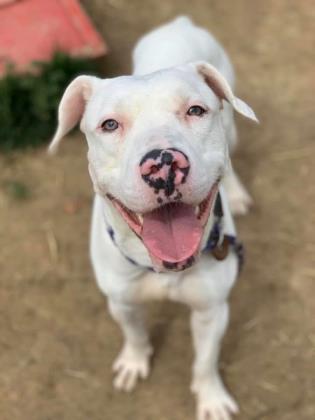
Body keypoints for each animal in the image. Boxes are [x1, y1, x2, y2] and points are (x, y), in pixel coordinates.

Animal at [48, 15, 256, 420]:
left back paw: (237, 192)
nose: (163, 164)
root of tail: (180, 22)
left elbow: (205, 361)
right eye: (109, 125)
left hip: (232, 123)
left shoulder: (212, 310)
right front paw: (134, 362)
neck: (162, 267)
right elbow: (135, 334)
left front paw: (211, 398)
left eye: (195, 110)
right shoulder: (122, 302)